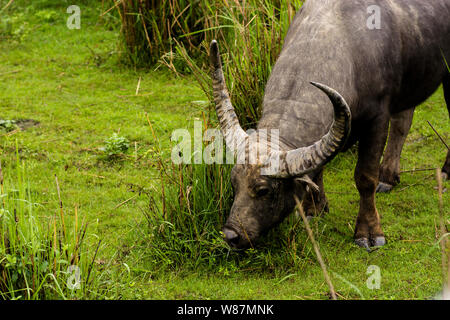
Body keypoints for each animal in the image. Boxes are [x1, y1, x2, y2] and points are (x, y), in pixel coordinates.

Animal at [211, 0, 450, 250]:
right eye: (233, 183)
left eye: (263, 190)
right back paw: (388, 177)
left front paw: (369, 233)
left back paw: (445, 171)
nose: (231, 234)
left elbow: (365, 177)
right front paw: (314, 208)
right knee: (403, 121)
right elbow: (316, 172)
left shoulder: (377, 119)